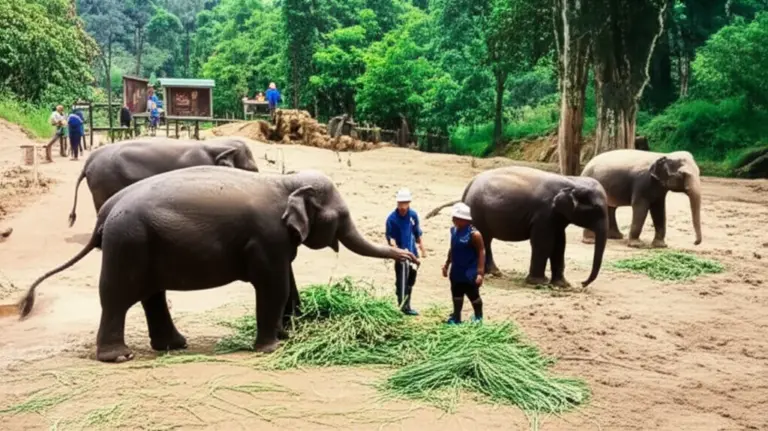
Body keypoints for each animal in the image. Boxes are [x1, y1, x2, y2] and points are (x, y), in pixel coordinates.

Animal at [15, 166, 417, 363]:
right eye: (341, 215)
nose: (411, 257)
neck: (284, 181)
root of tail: (106, 211)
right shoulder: (268, 237)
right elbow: (273, 284)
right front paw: (272, 348)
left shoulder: (278, 241)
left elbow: (286, 282)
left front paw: (287, 335)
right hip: (127, 243)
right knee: (116, 298)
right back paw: (120, 357)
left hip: (141, 244)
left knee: (151, 294)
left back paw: (174, 346)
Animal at [425, 166, 608, 288]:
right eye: (597, 209)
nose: (582, 283)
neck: (573, 180)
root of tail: (469, 185)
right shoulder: (544, 214)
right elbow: (543, 243)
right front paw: (539, 283)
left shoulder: (556, 218)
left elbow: (559, 245)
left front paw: (563, 285)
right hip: (477, 211)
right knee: (483, 239)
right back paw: (490, 273)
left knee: (485, 240)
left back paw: (494, 273)